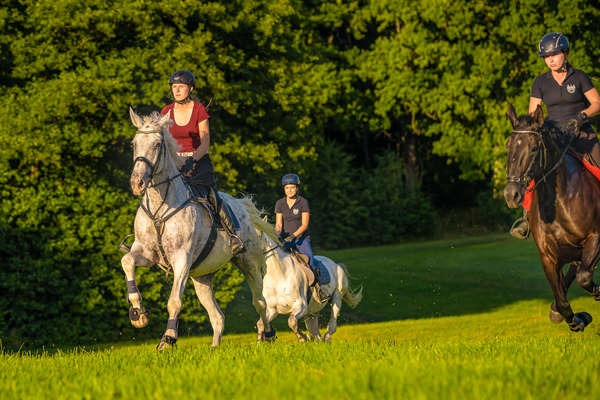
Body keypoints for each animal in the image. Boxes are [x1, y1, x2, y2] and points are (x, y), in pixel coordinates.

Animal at [504, 103, 596, 332]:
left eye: (534, 148)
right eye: (508, 146)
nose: (511, 194)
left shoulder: (595, 237)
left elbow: (584, 278)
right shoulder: (548, 256)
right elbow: (562, 299)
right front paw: (577, 319)